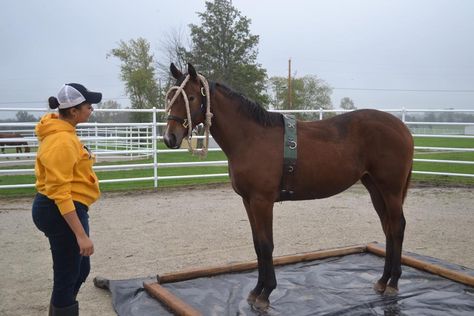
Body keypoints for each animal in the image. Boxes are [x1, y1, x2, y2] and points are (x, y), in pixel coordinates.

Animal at [164, 63, 414, 310]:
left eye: (191, 97)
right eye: (170, 98)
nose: (169, 138)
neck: (251, 138)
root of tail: (402, 127)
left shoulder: (262, 202)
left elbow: (266, 245)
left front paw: (265, 294)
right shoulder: (248, 201)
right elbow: (257, 244)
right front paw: (256, 291)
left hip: (390, 190)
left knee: (397, 227)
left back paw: (393, 282)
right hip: (375, 189)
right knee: (388, 228)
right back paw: (383, 281)